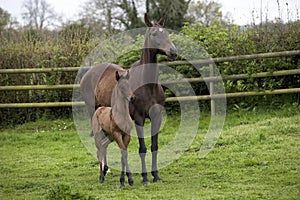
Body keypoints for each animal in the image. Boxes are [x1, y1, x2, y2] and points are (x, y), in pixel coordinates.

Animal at [80, 13, 178, 184]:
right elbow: (142, 148)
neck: (149, 85)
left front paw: (156, 176)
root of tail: (88, 73)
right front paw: (145, 178)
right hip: (94, 111)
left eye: (166, 32)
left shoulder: (157, 117)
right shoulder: (139, 118)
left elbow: (154, 147)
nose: (173, 52)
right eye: (154, 34)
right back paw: (103, 171)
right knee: (100, 142)